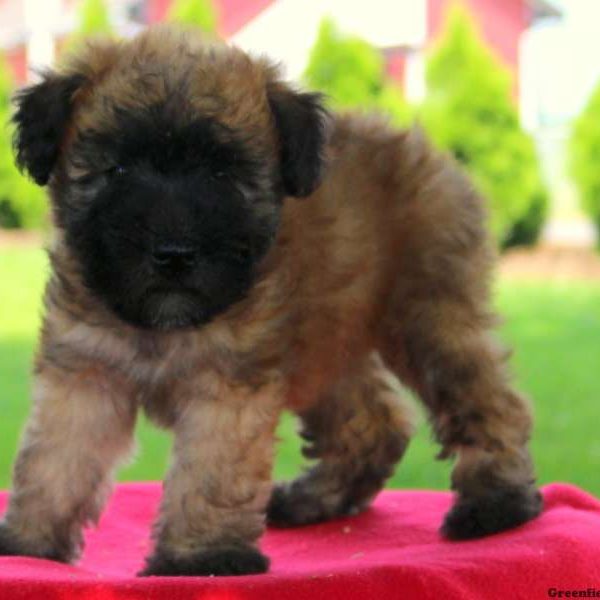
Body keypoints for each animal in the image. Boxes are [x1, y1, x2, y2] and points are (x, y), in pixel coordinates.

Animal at [0, 24, 540, 576]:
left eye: (222, 174)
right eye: (119, 169)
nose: (174, 253)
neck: (160, 327)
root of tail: (412, 142)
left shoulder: (229, 385)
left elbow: (211, 472)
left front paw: (202, 558)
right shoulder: (84, 373)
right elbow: (55, 461)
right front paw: (29, 546)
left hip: (428, 318)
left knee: (490, 403)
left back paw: (495, 506)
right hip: (328, 342)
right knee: (373, 422)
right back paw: (313, 500)